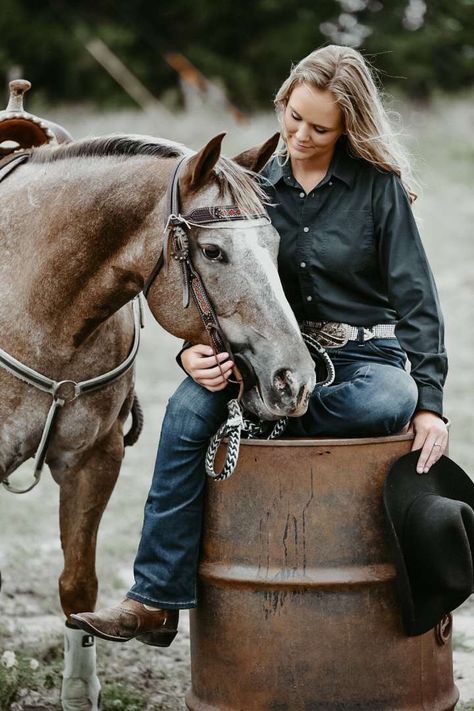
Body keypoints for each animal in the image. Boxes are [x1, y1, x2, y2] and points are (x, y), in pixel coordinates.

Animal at [0, 132, 318, 708]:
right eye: (212, 251)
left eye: (274, 243)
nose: (294, 379)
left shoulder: (94, 459)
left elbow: (78, 586)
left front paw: (79, 690)